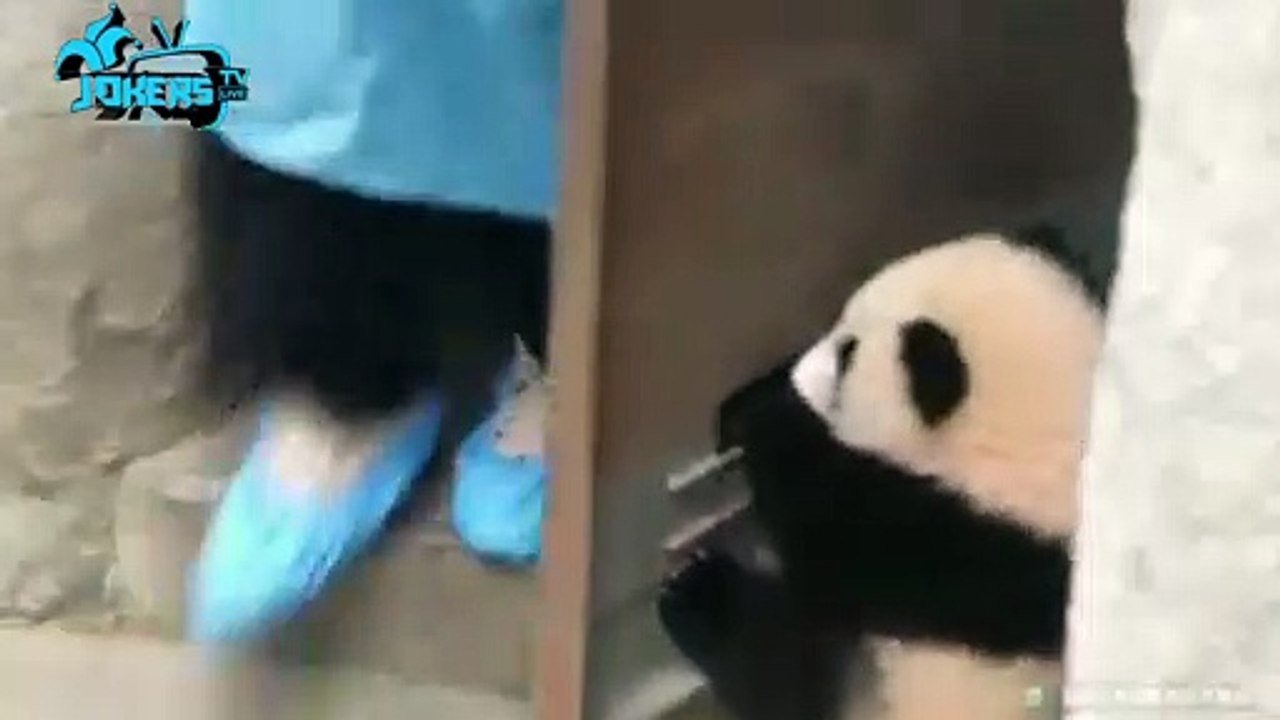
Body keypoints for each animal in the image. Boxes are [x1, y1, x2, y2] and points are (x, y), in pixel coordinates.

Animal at [657, 227, 1106, 720]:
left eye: (848, 354)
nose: (799, 373)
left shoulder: (956, 556)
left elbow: (827, 527)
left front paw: (771, 419)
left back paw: (700, 596)